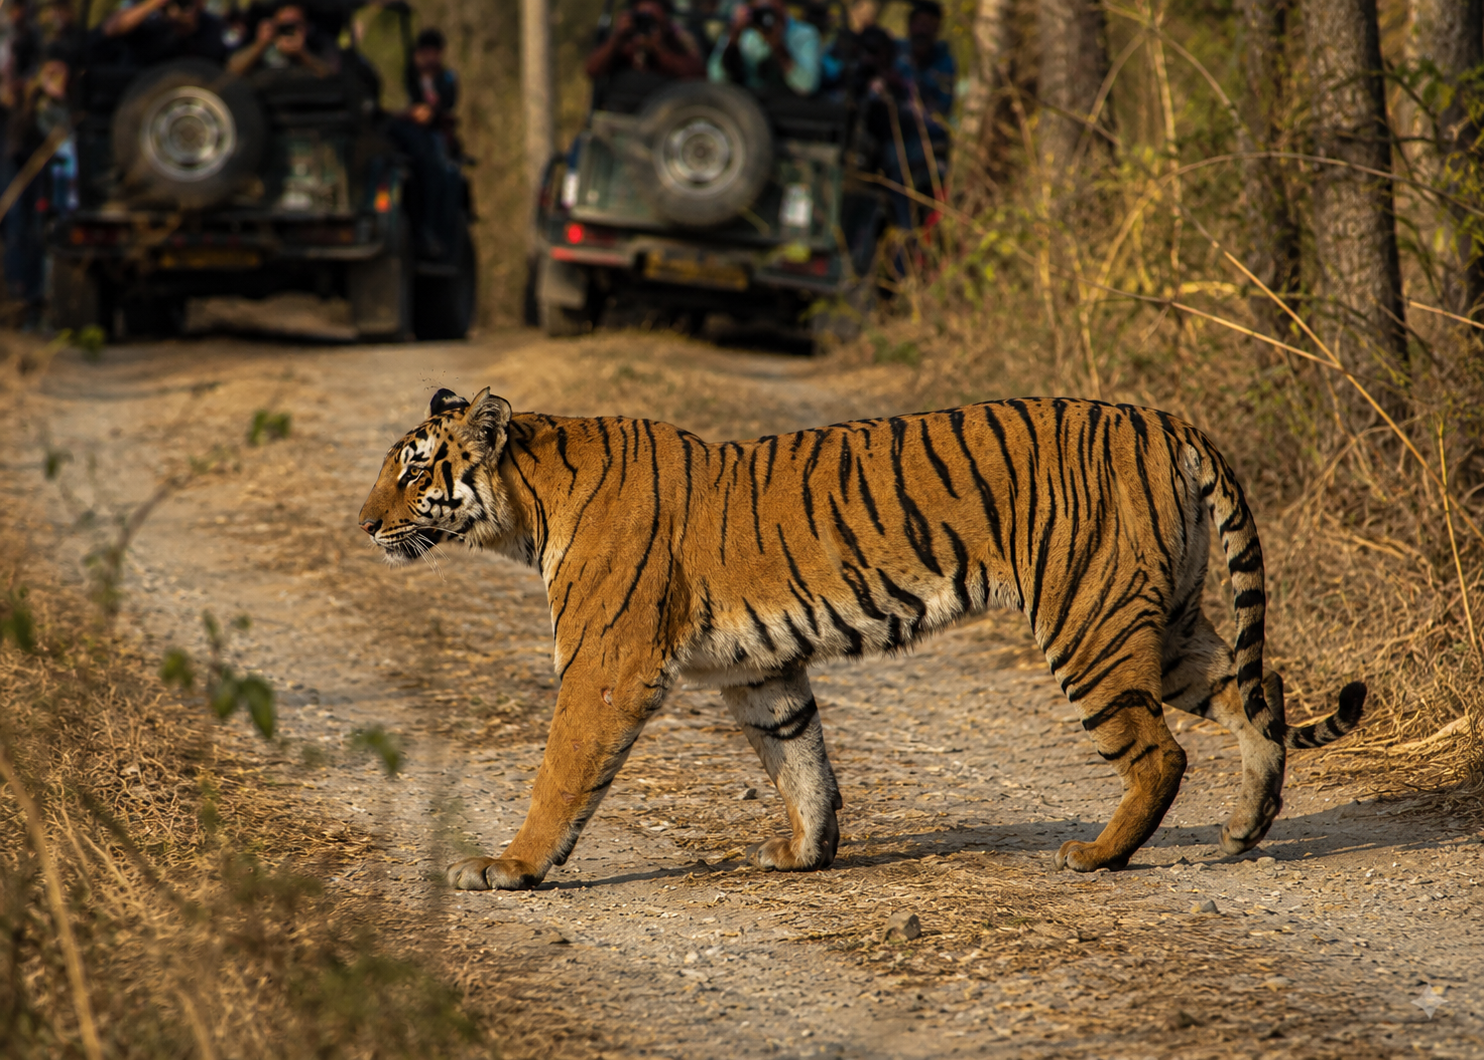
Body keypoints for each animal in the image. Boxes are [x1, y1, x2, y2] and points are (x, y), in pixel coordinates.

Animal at [358, 388, 1365, 891]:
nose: (364, 524)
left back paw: (1097, 856)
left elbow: (561, 776)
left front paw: (511, 867)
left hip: (1090, 623)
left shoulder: (608, 667)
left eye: (413, 471)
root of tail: (1165, 419)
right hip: (1170, 623)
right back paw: (1243, 831)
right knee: (1260, 698)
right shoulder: (762, 671)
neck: (527, 503)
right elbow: (802, 764)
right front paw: (804, 855)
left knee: (1160, 752)